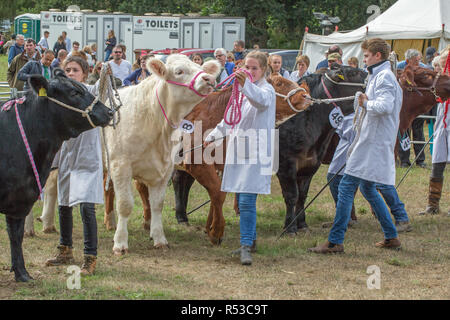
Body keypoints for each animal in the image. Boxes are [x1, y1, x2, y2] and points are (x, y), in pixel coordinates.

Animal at [0, 69, 112, 280]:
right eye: (74, 92)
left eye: (86, 88)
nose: (109, 112)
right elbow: (15, 234)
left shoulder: (20, 198)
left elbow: (16, 235)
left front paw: (22, 273)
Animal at [104, 55, 220, 255]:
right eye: (179, 71)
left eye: (200, 67)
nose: (209, 79)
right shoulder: (120, 165)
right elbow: (125, 205)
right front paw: (120, 243)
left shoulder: (164, 168)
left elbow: (157, 204)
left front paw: (159, 238)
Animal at [278, 63, 370, 234]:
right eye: (353, 72)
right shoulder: (286, 165)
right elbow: (292, 196)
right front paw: (290, 226)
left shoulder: (310, 165)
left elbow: (302, 195)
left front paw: (302, 223)